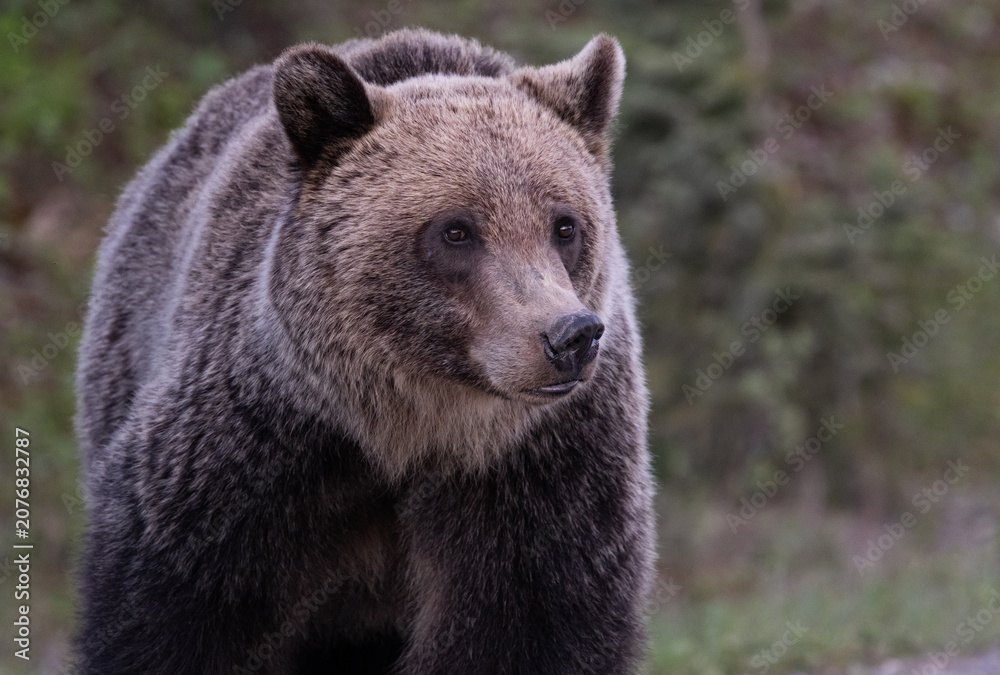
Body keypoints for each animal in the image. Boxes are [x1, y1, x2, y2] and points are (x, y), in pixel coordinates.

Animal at [75, 28, 655, 675]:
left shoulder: (544, 477)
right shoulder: (248, 460)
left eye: (565, 225)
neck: (409, 430)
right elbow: (176, 617)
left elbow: (528, 628)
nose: (569, 336)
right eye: (457, 231)